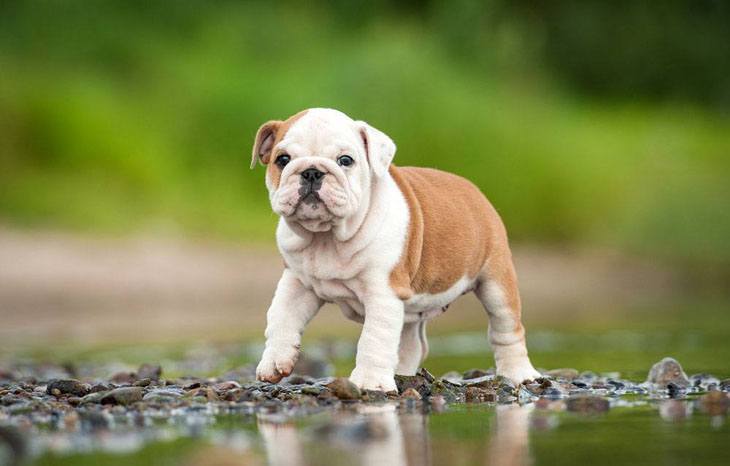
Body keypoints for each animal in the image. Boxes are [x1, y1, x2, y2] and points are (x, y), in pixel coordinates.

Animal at [250, 108, 540, 390]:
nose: (311, 171)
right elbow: (281, 318)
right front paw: (274, 362)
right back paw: (403, 373)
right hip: (413, 310)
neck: (327, 237)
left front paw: (369, 381)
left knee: (506, 329)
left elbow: (374, 339)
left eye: (345, 160)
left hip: (496, 281)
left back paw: (518, 374)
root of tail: (474, 191)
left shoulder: (383, 293)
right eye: (282, 160)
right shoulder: (297, 283)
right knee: (412, 344)